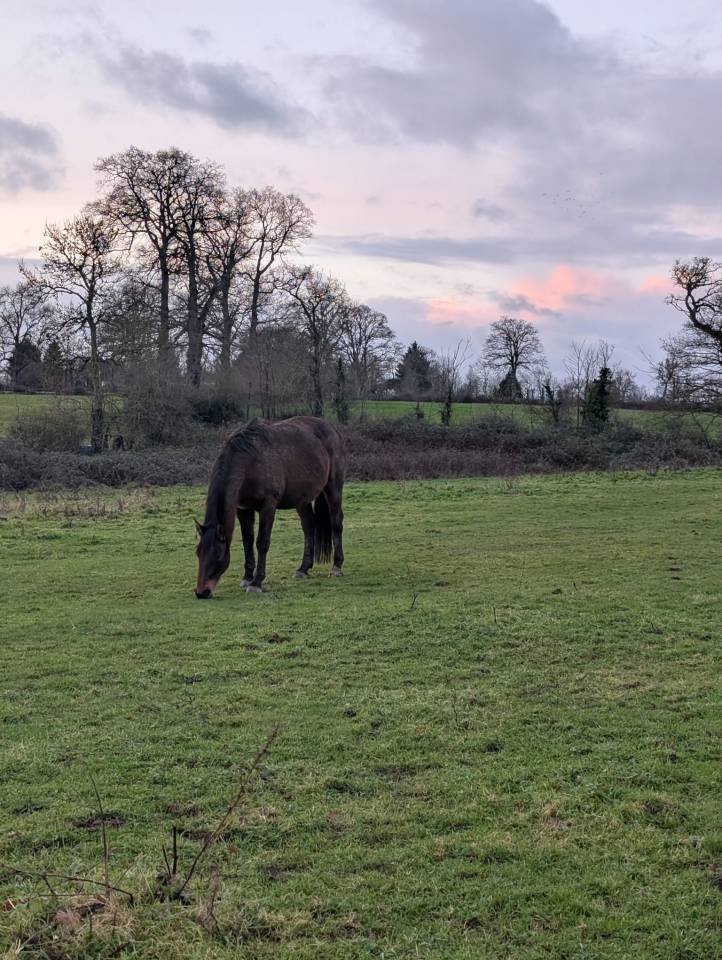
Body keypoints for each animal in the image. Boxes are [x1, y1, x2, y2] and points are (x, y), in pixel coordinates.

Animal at [195, 416, 345, 598]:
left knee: (337, 523)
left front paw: (257, 582)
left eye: (217, 554)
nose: (202, 592)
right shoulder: (243, 509)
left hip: (333, 488)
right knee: (309, 527)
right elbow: (247, 541)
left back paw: (336, 567)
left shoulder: (268, 506)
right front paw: (247, 577)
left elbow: (262, 543)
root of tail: (331, 428)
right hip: (301, 500)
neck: (250, 461)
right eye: (198, 553)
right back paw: (303, 569)